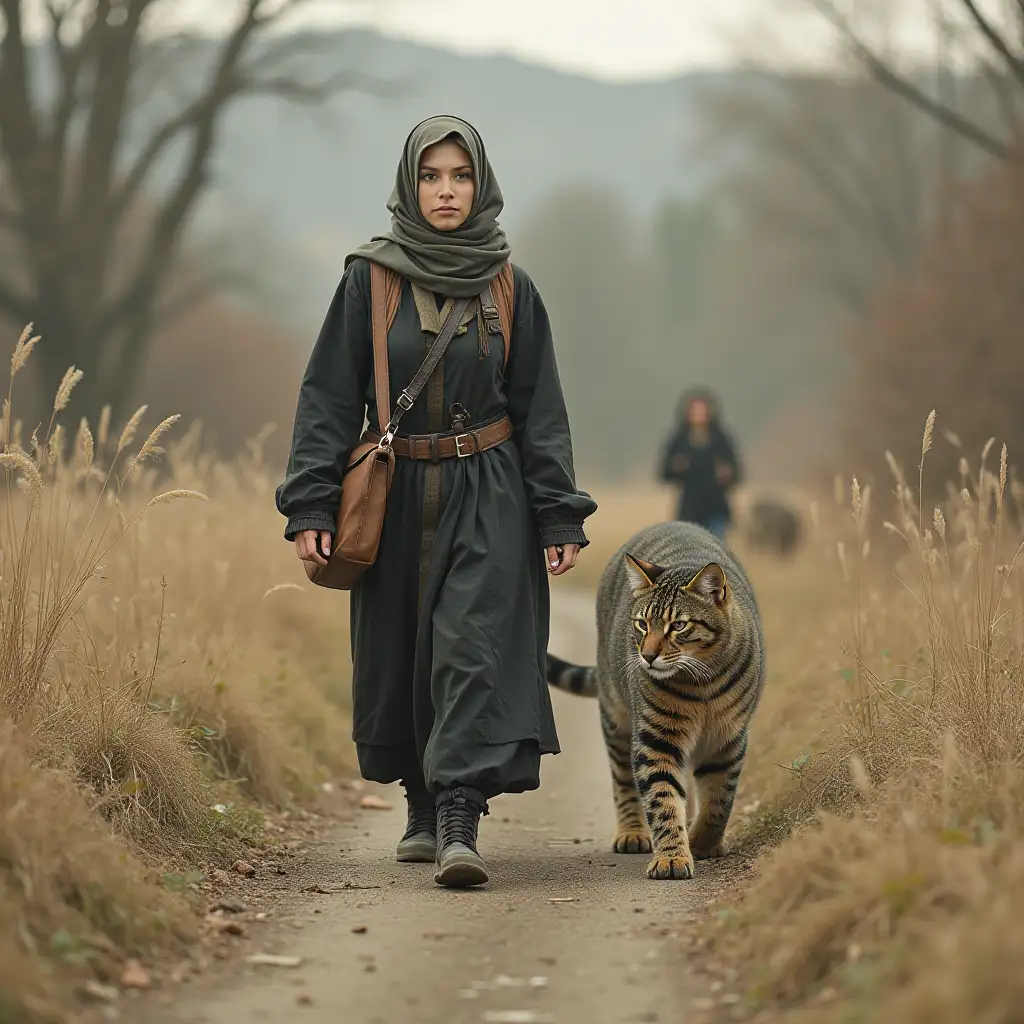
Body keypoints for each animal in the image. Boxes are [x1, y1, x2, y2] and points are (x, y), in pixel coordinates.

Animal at [548, 524, 765, 876]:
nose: (647, 656)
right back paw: (632, 831)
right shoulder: (656, 739)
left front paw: (703, 841)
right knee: (622, 779)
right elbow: (663, 799)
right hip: (615, 717)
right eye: (641, 624)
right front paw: (672, 856)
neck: (702, 683)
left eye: (678, 625)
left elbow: (720, 798)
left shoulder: (728, 737)